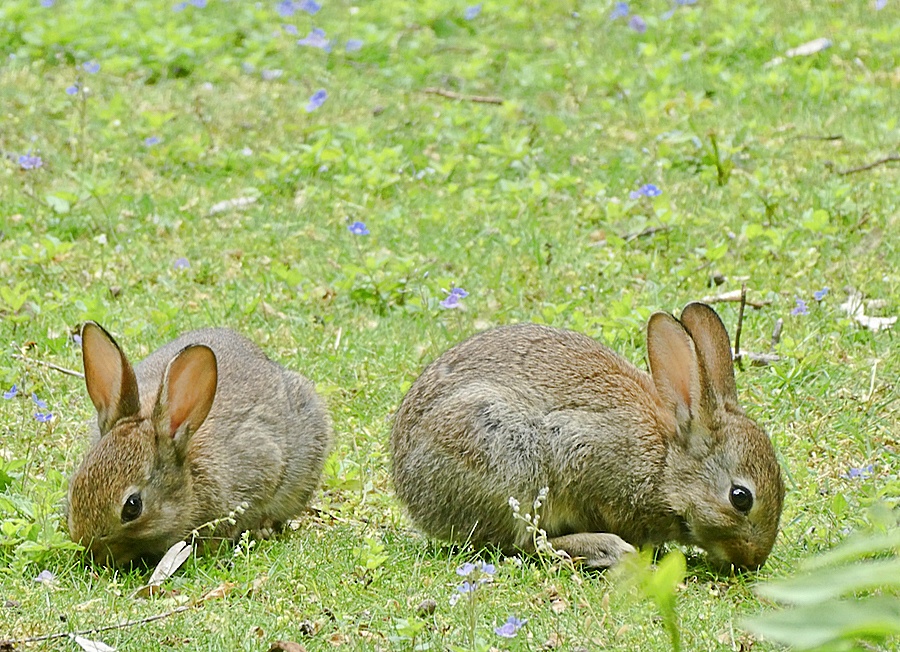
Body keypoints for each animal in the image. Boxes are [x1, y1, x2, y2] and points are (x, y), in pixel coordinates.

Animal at [390, 304, 784, 568]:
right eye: (740, 497)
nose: (754, 559)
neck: (665, 463)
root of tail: (410, 491)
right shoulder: (579, 449)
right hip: (508, 454)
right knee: (525, 541)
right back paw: (607, 548)